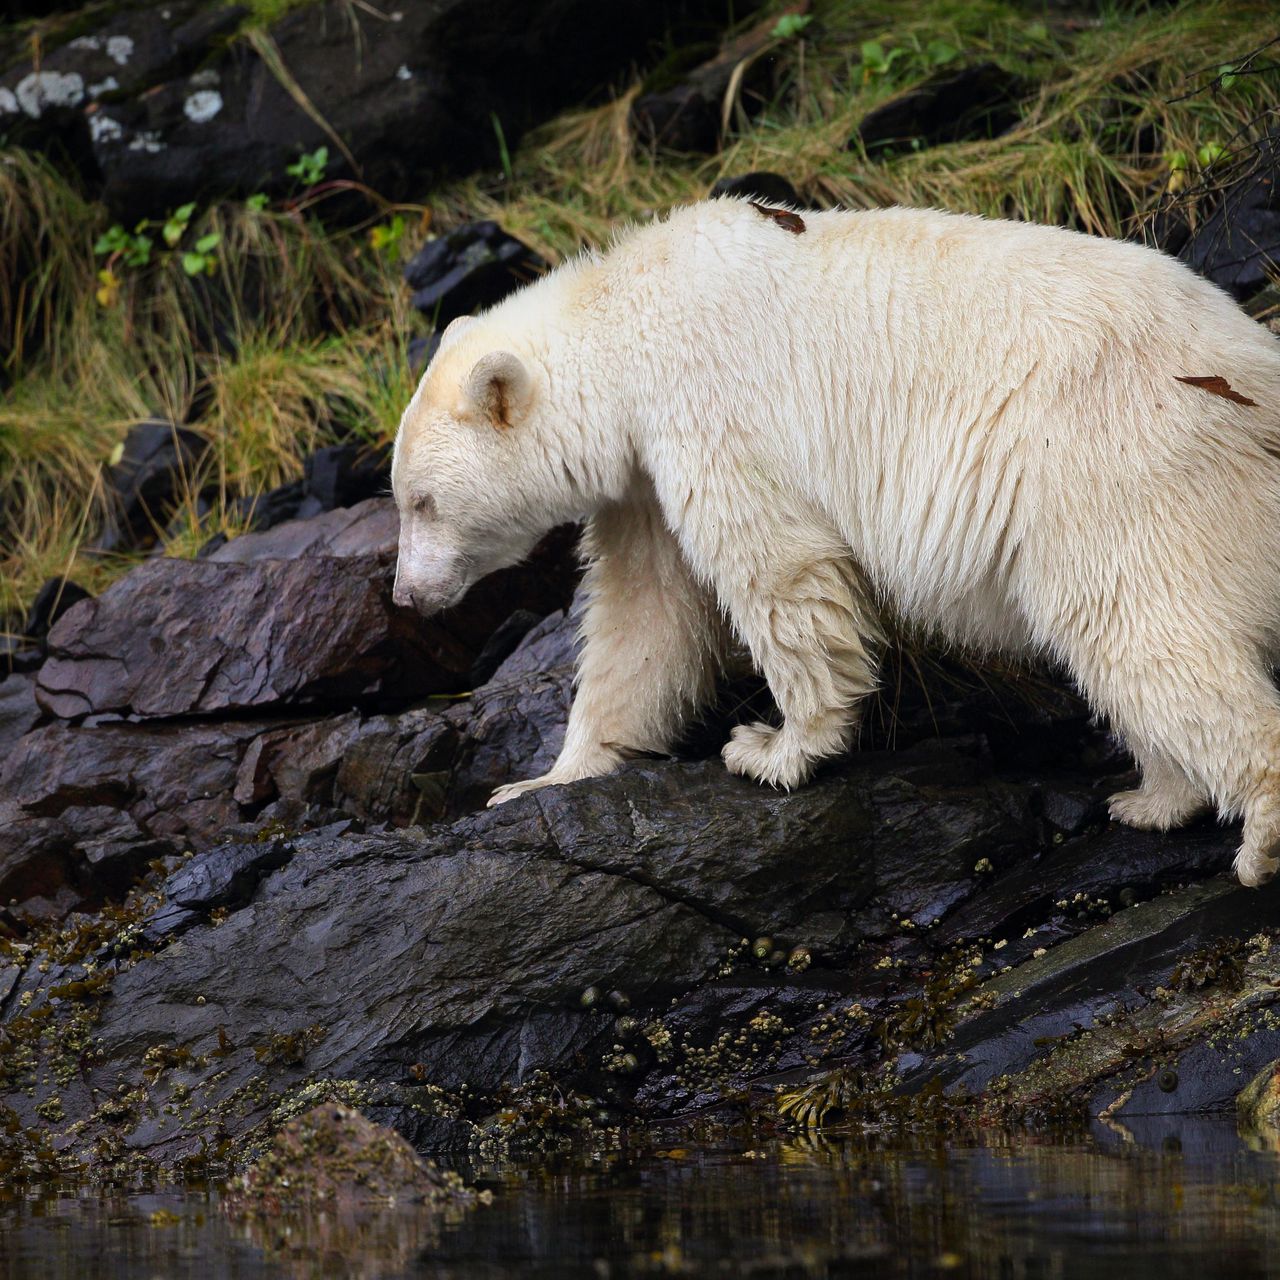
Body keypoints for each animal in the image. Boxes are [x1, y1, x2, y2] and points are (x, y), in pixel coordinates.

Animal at [391, 198, 1280, 887]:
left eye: (423, 502)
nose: (405, 595)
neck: (625, 316)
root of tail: (1257, 373)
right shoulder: (643, 481)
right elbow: (642, 618)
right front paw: (539, 782)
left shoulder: (708, 407)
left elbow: (777, 571)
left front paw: (771, 748)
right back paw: (1154, 799)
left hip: (1118, 463)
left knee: (1135, 626)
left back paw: (1257, 834)